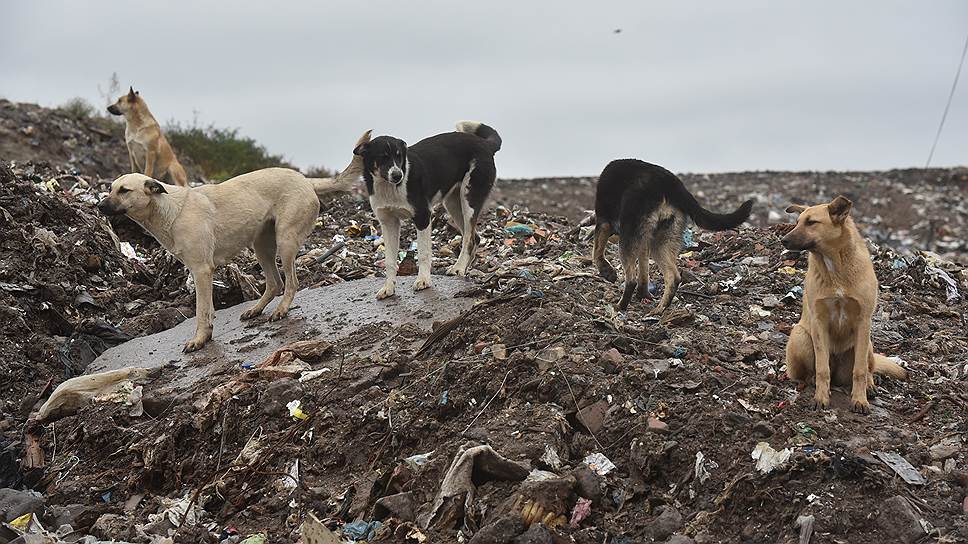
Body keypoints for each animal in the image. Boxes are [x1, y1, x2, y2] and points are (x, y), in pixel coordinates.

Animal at [97, 132, 370, 352]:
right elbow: (208, 310)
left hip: (285, 241)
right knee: (275, 283)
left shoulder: (202, 271)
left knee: (291, 282)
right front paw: (206, 334)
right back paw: (256, 309)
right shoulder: (201, 272)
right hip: (262, 247)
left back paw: (281, 310)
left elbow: (201, 310)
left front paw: (199, 339)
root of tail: (304, 179)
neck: (169, 210)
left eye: (124, 190)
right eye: (110, 188)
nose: (99, 206)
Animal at [358, 121, 506, 300]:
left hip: (469, 200)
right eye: (382, 157)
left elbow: (423, 253)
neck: (390, 188)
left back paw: (458, 267)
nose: (398, 175)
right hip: (453, 204)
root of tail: (484, 144)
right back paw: (464, 269)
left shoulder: (423, 217)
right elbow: (390, 260)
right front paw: (388, 287)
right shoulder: (388, 223)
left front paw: (423, 280)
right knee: (475, 238)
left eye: (399, 156)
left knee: (469, 239)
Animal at [588, 159, 756, 312]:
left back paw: (620, 306)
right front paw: (643, 294)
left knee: (631, 279)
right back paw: (660, 308)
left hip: (630, 236)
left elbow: (596, 252)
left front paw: (607, 272)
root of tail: (670, 184)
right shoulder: (644, 241)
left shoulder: (604, 223)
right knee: (673, 276)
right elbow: (643, 267)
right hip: (662, 240)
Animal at [780, 196, 908, 412]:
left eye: (811, 222)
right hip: (800, 336)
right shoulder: (819, 321)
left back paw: (870, 386)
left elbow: (860, 370)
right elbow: (822, 369)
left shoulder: (863, 321)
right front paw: (821, 398)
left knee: (868, 368)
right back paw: (811, 381)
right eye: (797, 222)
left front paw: (860, 400)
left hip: (868, 344)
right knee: (808, 374)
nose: (784, 240)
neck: (835, 269)